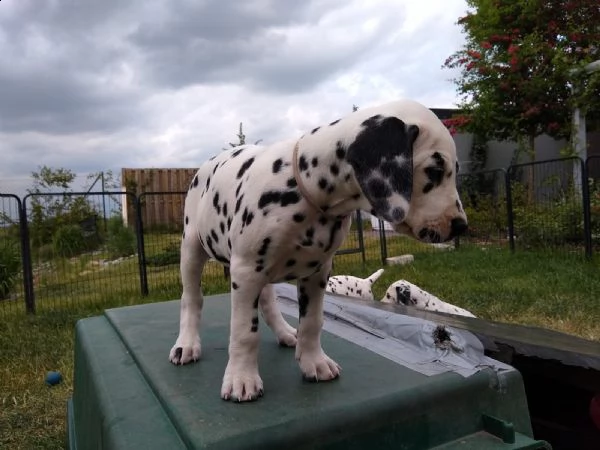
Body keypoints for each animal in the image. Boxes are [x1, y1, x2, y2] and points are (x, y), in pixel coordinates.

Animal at [169, 97, 468, 400]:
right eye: (434, 171)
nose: (460, 226)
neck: (309, 195)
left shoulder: (316, 272)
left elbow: (312, 322)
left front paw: (314, 362)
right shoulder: (246, 272)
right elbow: (244, 331)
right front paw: (242, 378)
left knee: (268, 301)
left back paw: (285, 333)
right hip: (192, 250)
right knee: (191, 299)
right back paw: (187, 345)